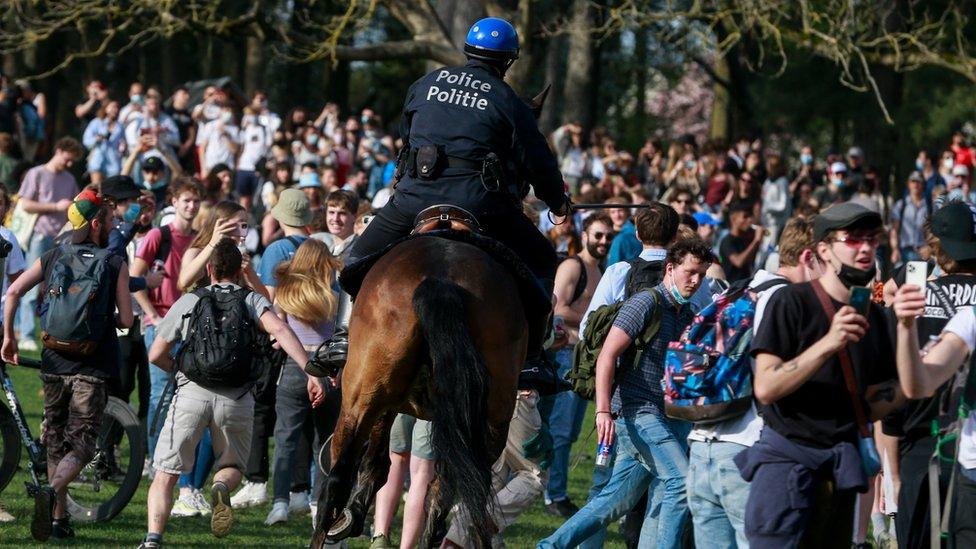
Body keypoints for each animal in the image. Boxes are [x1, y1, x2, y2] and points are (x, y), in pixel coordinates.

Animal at [310, 233, 528, 544]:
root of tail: (441, 281)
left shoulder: (382, 403)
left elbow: (377, 462)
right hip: (486, 425)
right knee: (458, 494)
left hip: (360, 402)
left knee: (338, 481)